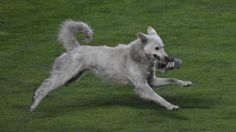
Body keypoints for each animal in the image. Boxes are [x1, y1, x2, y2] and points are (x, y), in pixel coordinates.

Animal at [30, 20, 192, 112]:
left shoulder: (151, 81)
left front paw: (185, 83)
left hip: (72, 78)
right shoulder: (142, 86)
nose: (168, 58)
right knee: (45, 86)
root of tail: (75, 47)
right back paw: (34, 105)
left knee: (46, 83)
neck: (139, 56)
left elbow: (172, 79)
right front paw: (170, 106)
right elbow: (158, 97)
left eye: (163, 47)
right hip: (64, 78)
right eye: (156, 48)